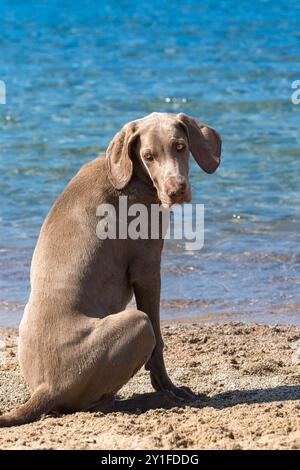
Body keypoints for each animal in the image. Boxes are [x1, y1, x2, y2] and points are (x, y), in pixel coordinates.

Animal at [0, 111, 220, 426]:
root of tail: (46, 388)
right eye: (148, 156)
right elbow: (159, 345)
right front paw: (169, 388)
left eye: (180, 147)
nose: (176, 191)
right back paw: (149, 400)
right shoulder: (147, 267)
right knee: (97, 403)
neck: (131, 174)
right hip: (136, 325)